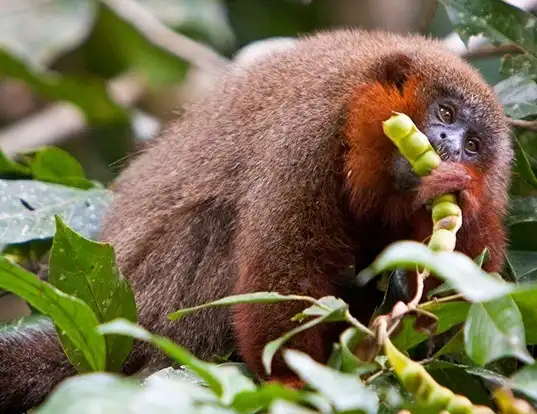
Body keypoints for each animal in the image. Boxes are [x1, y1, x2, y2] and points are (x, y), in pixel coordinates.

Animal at [0, 29, 510, 410]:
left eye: (473, 146)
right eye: (445, 112)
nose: (448, 144)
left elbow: (462, 300)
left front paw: (459, 198)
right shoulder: (308, 134)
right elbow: (282, 268)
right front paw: (292, 384)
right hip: (161, 304)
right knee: (214, 224)